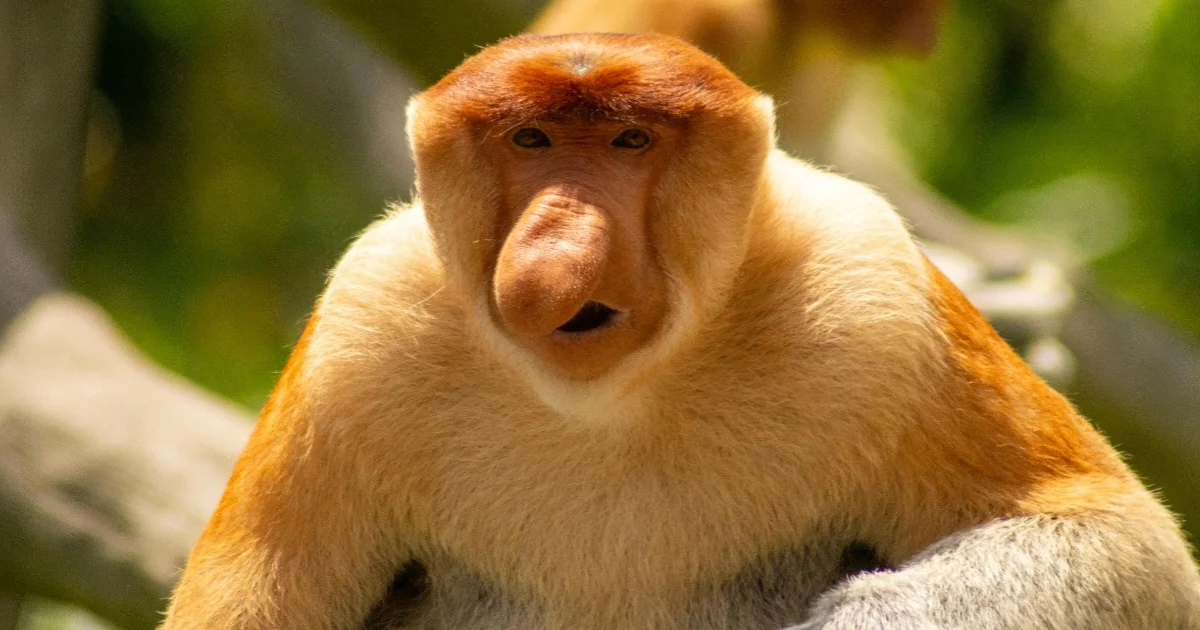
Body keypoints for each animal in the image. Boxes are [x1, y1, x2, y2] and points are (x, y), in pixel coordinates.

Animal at [161, 33, 1200, 629]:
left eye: (631, 141)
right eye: (531, 140)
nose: (559, 246)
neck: (613, 403)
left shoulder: (873, 289)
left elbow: (1122, 546)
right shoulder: (361, 326)